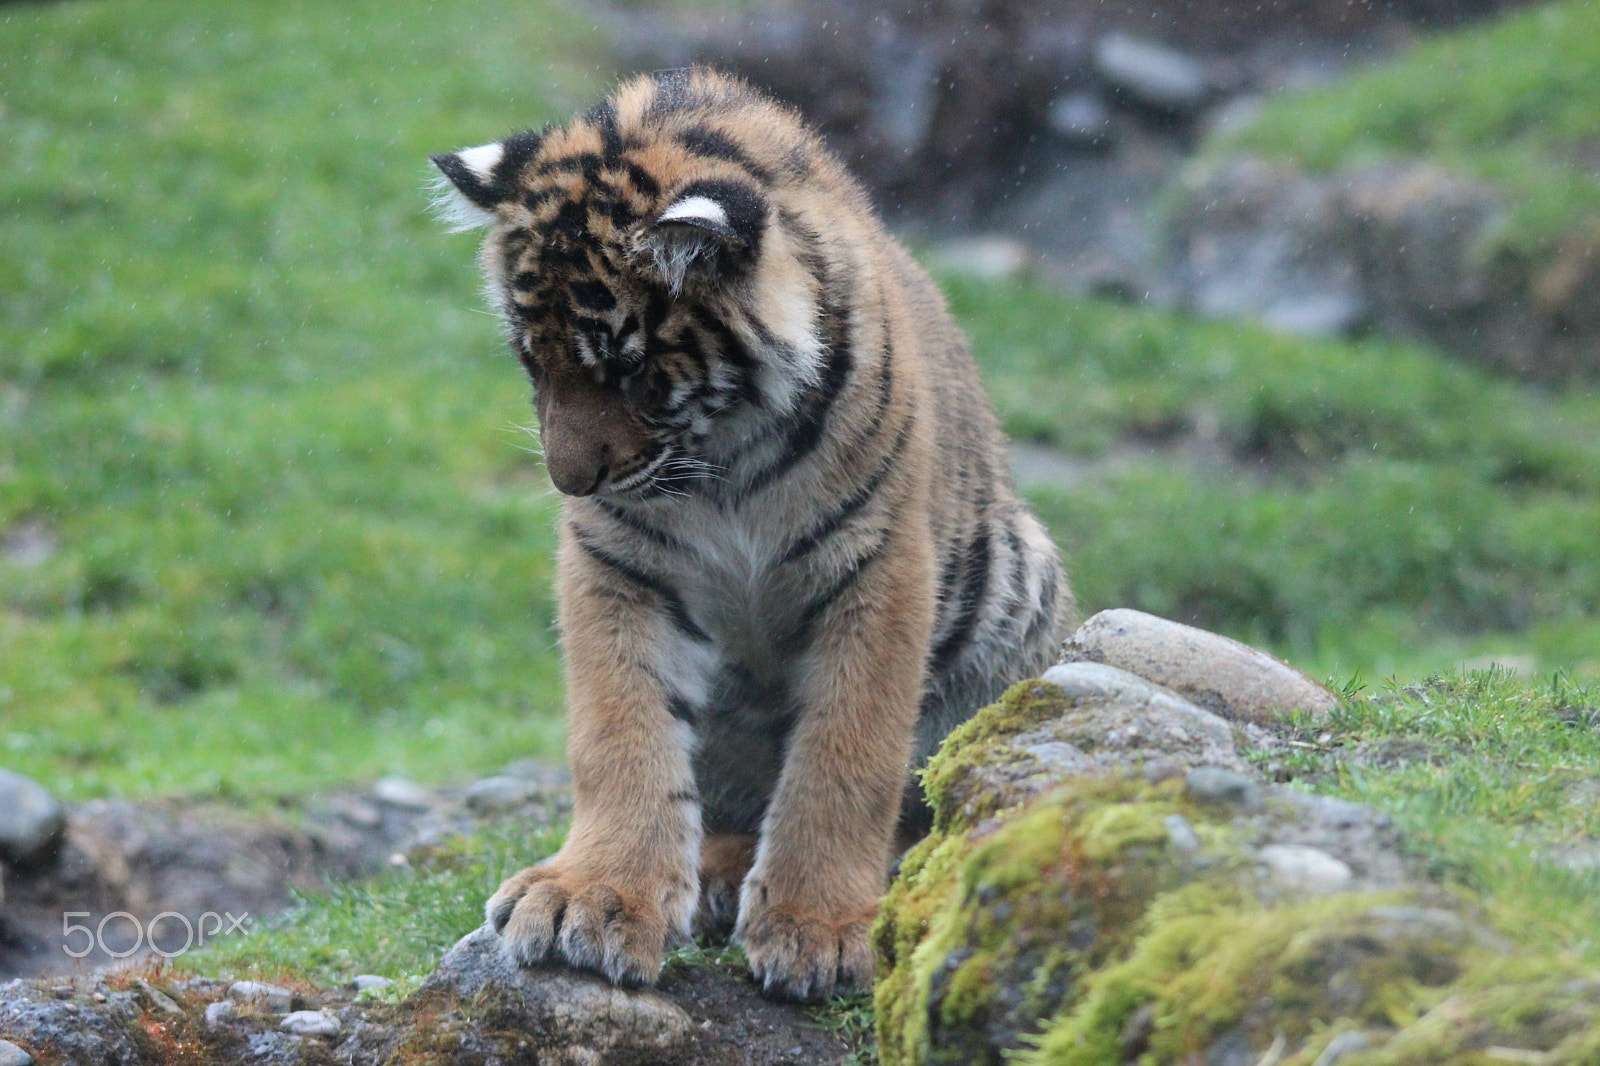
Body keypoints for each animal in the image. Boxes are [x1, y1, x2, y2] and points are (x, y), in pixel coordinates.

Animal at [429, 67, 1072, 1001]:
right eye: (529, 359)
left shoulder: (880, 569)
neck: (721, 455)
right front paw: (593, 896)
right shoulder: (619, 565)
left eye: (628, 369)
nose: (567, 482)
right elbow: (618, 729)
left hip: (1017, 579)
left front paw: (820, 926)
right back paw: (715, 871)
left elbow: (848, 750)